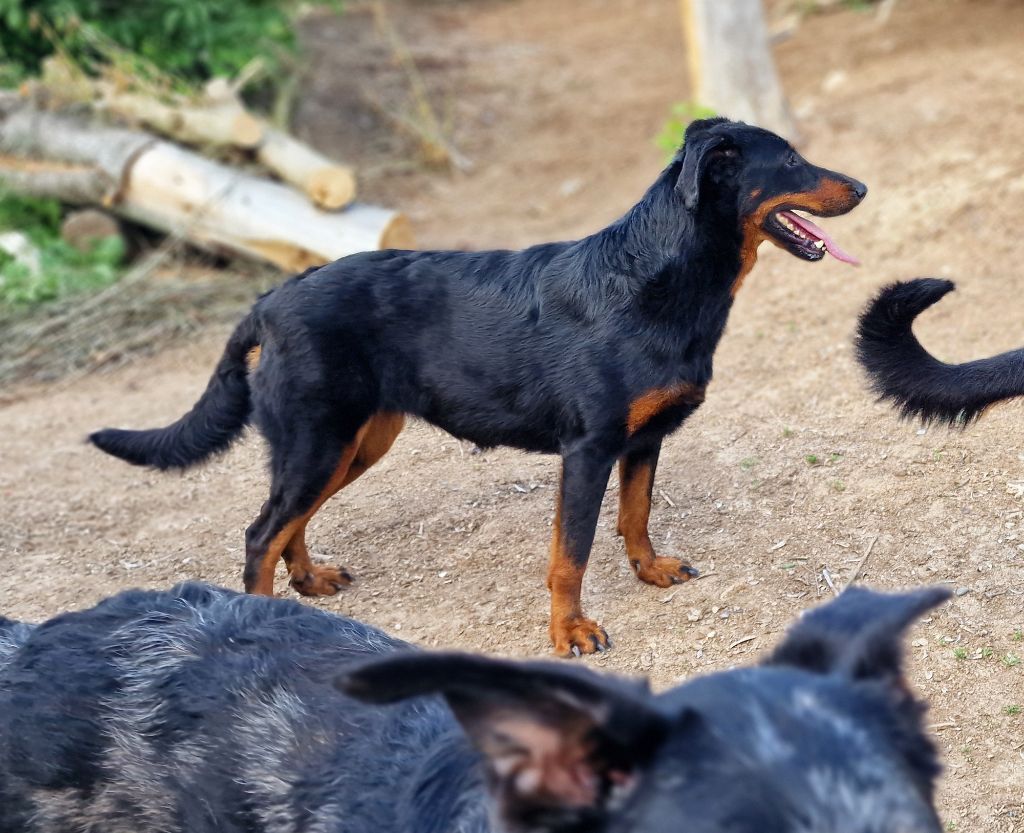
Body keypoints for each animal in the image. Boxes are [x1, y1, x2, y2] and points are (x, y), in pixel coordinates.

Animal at [92, 116, 868, 651]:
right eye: (790, 160)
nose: (862, 187)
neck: (655, 276)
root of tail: (272, 299)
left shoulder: (643, 440)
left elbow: (636, 516)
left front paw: (649, 571)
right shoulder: (588, 451)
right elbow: (570, 554)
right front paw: (570, 632)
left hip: (352, 444)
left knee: (289, 523)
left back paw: (308, 583)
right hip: (320, 441)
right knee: (261, 533)